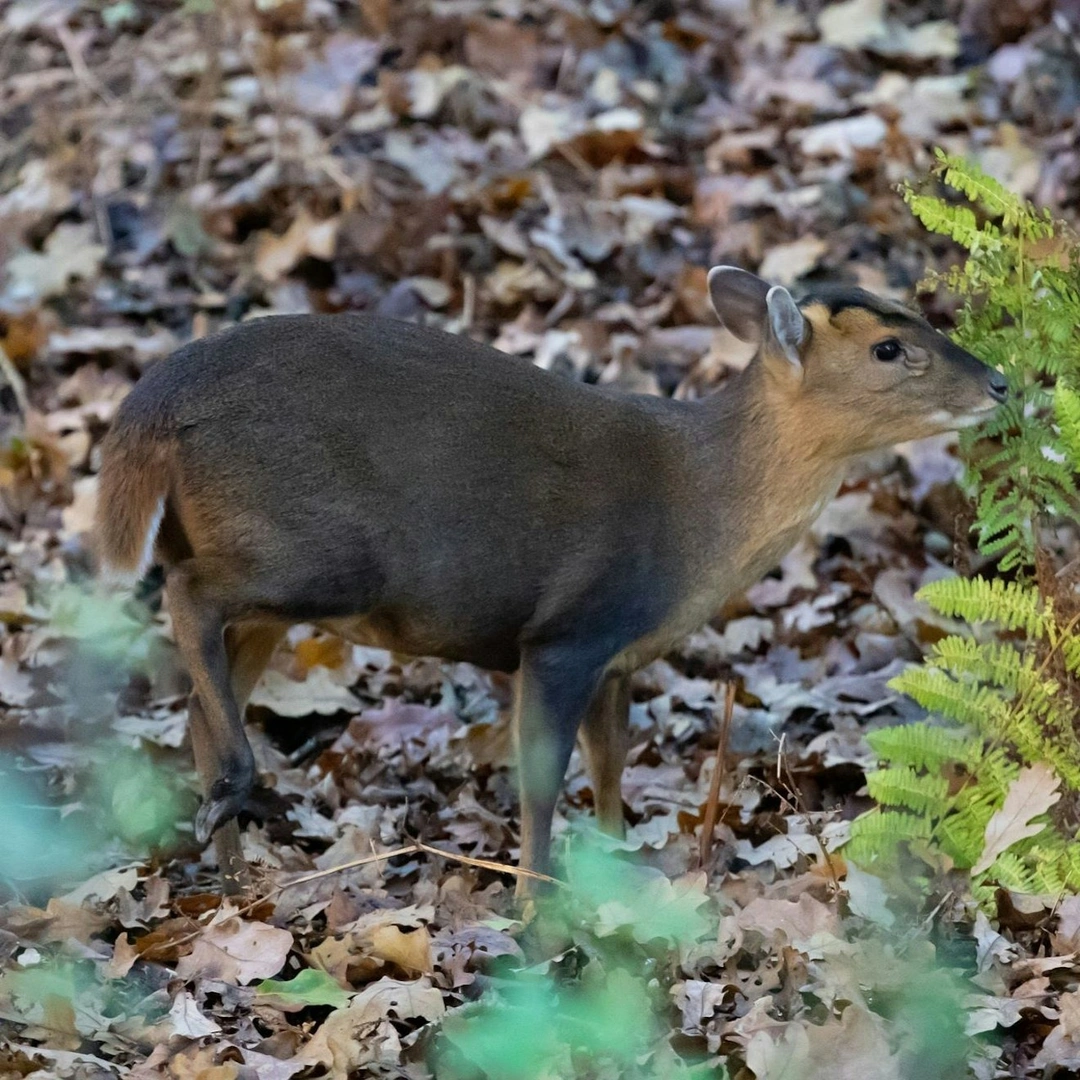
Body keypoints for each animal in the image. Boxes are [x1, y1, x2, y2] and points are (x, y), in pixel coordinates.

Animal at [94, 266, 1005, 895]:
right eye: (890, 348)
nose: (998, 381)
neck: (703, 512)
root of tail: (152, 405)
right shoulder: (568, 632)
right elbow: (540, 783)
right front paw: (537, 910)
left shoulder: (619, 655)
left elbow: (610, 766)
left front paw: (618, 871)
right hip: (318, 552)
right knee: (186, 594)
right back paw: (238, 789)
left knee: (198, 694)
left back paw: (233, 865)